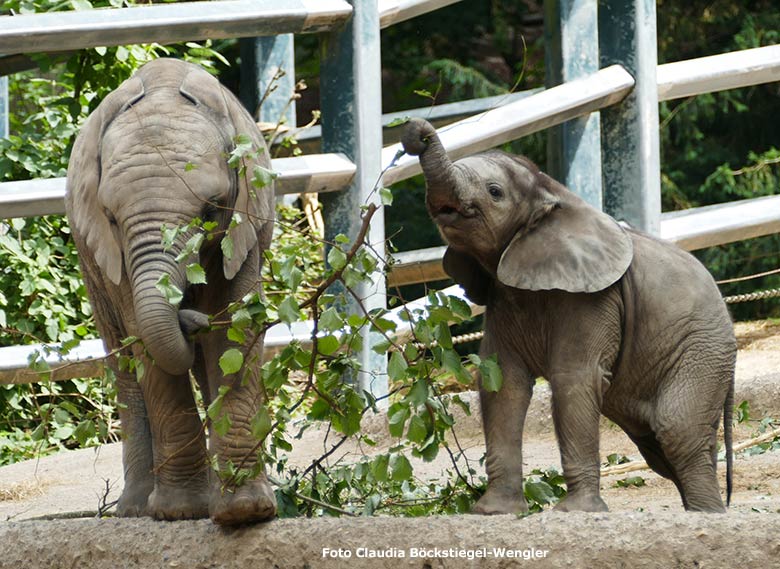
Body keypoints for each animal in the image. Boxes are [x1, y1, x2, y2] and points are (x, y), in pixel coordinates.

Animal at [66, 57, 278, 524]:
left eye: (211, 211)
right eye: (110, 217)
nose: (189, 315)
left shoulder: (244, 226)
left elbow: (234, 329)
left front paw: (245, 511)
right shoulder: (116, 257)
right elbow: (147, 345)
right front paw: (182, 512)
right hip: (91, 269)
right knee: (124, 362)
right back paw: (134, 508)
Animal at [400, 118, 736, 516]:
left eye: (494, 192)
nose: (417, 133)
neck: (548, 192)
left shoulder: (593, 299)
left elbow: (573, 378)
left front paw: (576, 512)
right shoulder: (503, 296)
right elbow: (503, 381)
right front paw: (492, 511)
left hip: (702, 349)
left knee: (676, 430)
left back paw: (707, 516)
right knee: (658, 446)